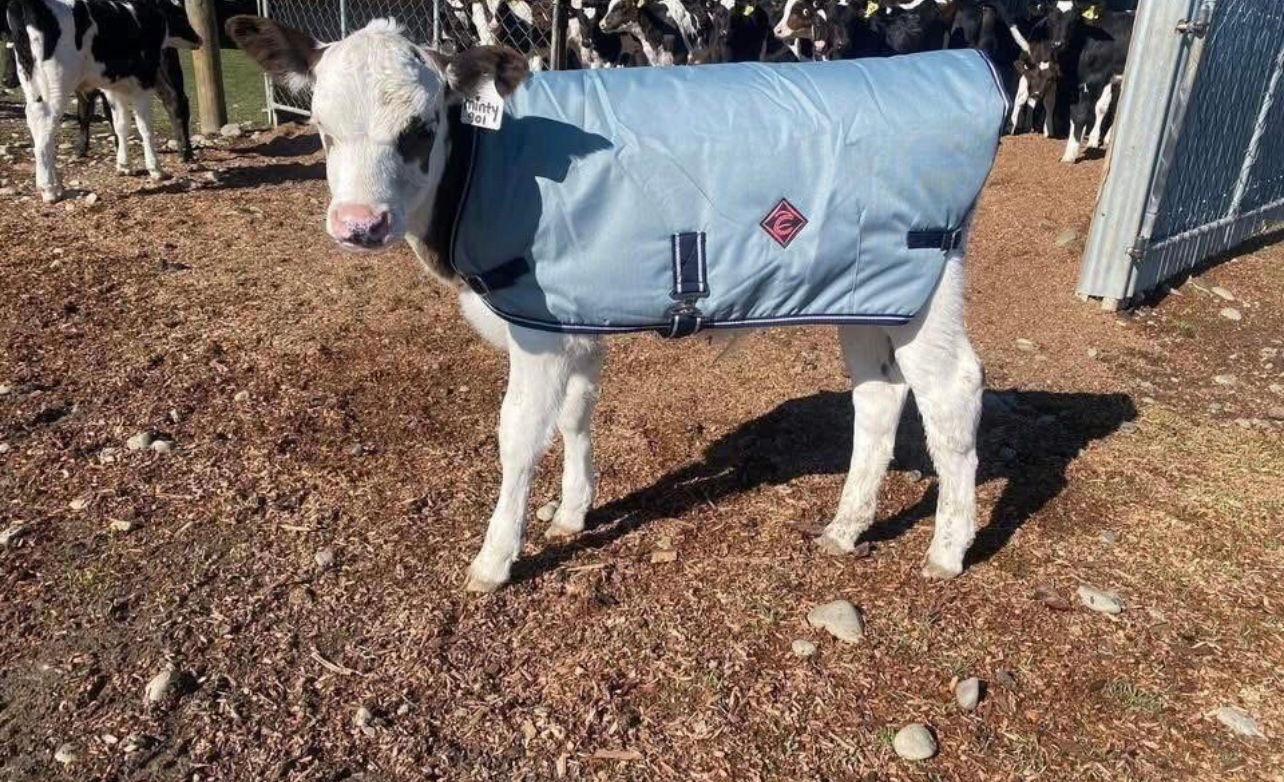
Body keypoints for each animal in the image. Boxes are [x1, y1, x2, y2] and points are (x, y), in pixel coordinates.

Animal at [5, 0, 200, 202]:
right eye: (181, 14)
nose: (199, 39)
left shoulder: (114, 88)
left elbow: (121, 125)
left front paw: (124, 166)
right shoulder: (144, 83)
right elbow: (145, 128)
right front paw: (156, 169)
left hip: (32, 84)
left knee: (35, 121)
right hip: (56, 86)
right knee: (45, 129)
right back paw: (49, 189)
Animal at [224, 15, 990, 593]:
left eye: (420, 127)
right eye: (321, 128)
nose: (358, 224)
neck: (486, 162)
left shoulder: (538, 329)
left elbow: (517, 436)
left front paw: (494, 560)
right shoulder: (571, 316)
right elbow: (575, 414)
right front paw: (573, 512)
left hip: (928, 285)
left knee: (951, 391)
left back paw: (948, 549)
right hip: (869, 294)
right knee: (879, 395)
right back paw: (846, 527)